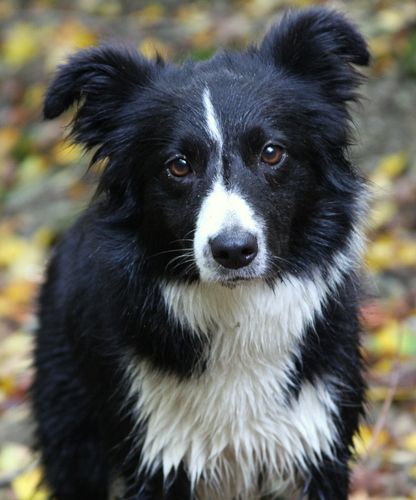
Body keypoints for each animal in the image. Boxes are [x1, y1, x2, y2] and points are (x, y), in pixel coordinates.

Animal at [32, 7, 370, 499]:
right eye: (178, 165)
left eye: (272, 152)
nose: (233, 251)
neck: (236, 310)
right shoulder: (155, 438)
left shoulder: (316, 426)